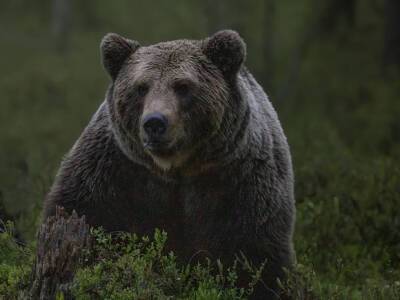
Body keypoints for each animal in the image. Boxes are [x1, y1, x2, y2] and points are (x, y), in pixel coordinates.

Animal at [43, 29, 296, 298]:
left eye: (183, 86)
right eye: (141, 87)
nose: (155, 123)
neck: (176, 169)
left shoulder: (241, 182)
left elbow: (256, 256)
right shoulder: (113, 171)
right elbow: (85, 214)